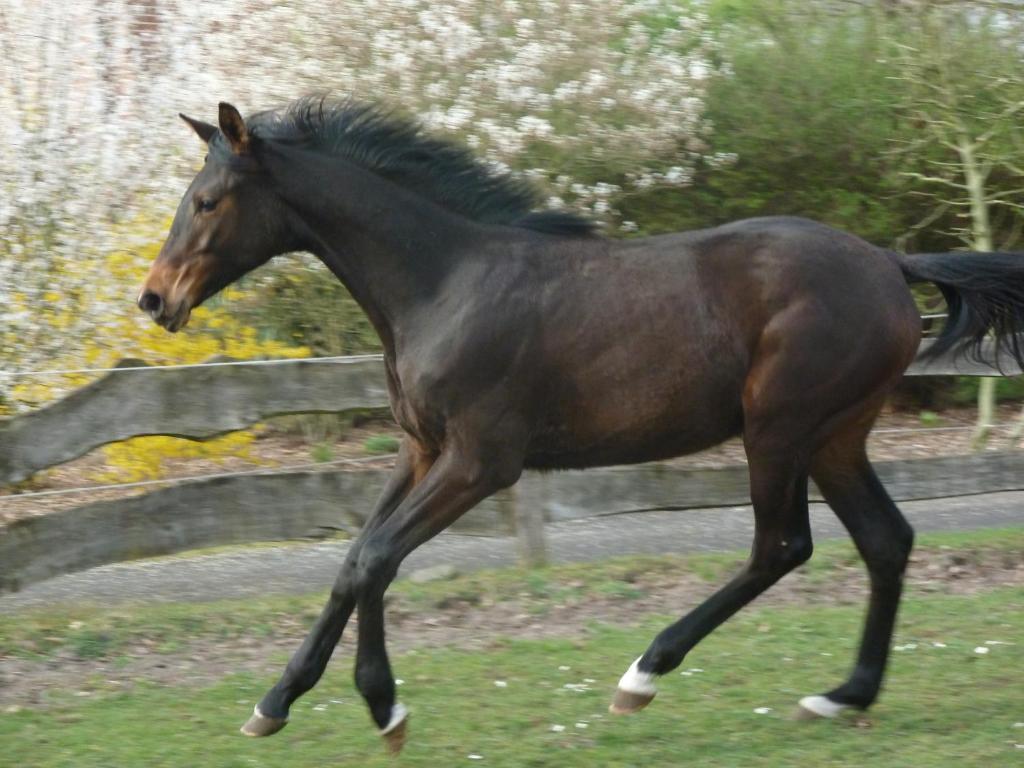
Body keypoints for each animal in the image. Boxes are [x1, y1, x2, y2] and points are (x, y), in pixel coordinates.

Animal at [140, 99, 1024, 753]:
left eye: (208, 201)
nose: (155, 300)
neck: (444, 283)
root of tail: (889, 262)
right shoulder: (422, 451)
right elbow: (356, 561)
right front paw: (281, 702)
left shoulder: (480, 463)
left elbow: (376, 559)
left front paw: (382, 708)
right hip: (837, 435)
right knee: (886, 540)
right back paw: (842, 696)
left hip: (780, 428)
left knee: (782, 546)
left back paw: (643, 677)